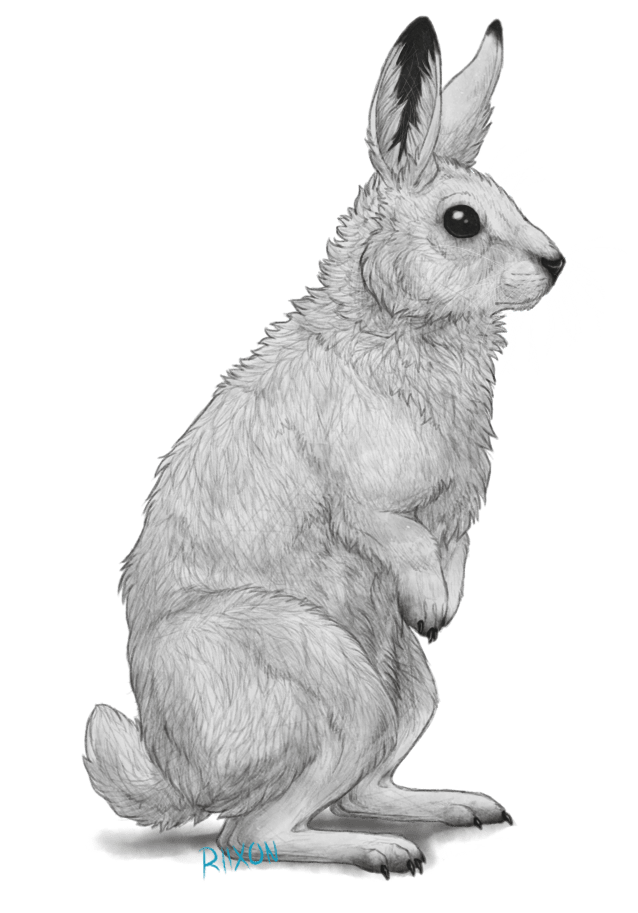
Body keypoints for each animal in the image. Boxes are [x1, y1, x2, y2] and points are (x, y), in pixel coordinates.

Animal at [83, 15, 565, 876]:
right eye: (462, 221)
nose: (556, 263)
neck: (399, 326)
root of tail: (182, 777)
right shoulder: (369, 503)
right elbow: (396, 536)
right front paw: (431, 603)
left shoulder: (454, 519)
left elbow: (451, 552)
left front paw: (442, 607)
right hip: (330, 681)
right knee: (251, 833)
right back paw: (383, 853)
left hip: (405, 691)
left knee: (357, 786)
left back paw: (458, 806)